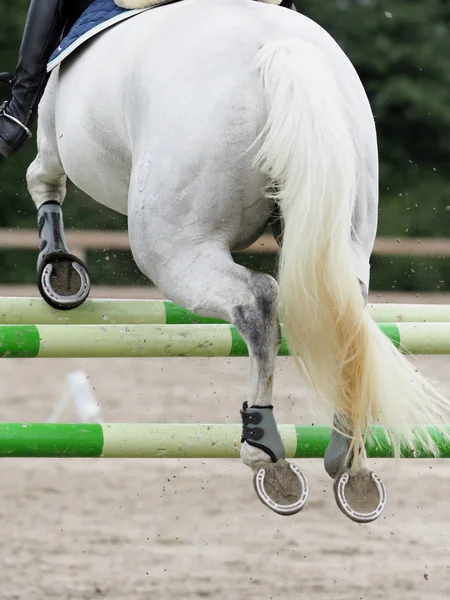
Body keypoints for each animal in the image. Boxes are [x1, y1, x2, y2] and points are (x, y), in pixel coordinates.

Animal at [27, 0, 450, 524]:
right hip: (341, 230)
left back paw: (266, 451)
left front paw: (60, 269)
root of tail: (278, 46)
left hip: (173, 247)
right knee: (346, 319)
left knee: (258, 301)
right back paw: (350, 461)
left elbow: (42, 176)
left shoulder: (51, 131)